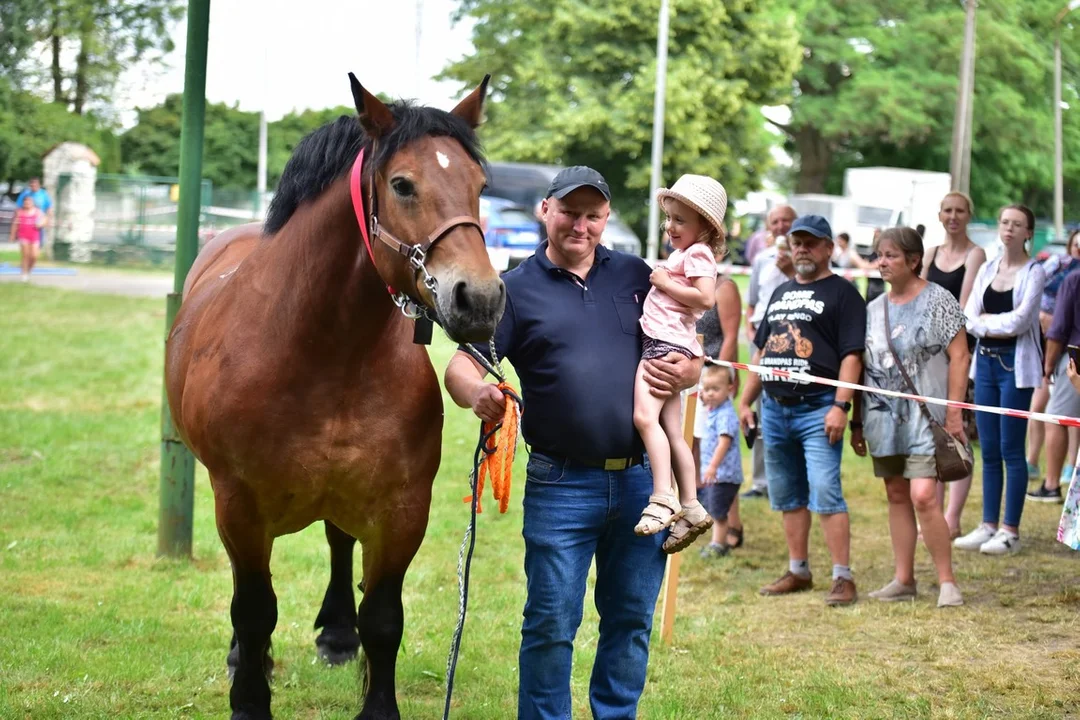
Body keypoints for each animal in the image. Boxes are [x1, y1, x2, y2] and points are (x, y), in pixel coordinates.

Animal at [165, 76, 505, 716]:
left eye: (480, 186)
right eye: (402, 184)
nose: (480, 299)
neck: (324, 352)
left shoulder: (401, 507)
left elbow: (384, 619)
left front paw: (376, 698)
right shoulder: (239, 506)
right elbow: (254, 610)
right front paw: (250, 696)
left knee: (338, 542)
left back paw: (338, 636)